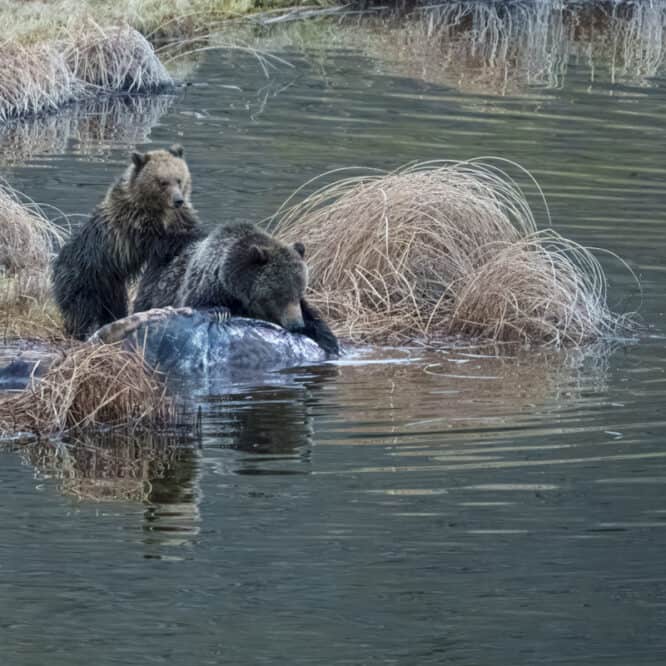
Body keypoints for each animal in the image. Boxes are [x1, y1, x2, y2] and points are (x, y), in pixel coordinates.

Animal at [52, 144, 200, 340]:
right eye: (162, 182)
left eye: (179, 179)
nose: (178, 200)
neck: (159, 210)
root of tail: (56, 265)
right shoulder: (135, 226)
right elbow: (164, 243)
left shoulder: (179, 216)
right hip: (83, 278)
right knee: (81, 309)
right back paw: (83, 331)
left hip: (112, 286)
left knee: (113, 307)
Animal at [133, 222, 339, 356]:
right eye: (280, 295)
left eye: (299, 292)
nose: (297, 324)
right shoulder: (202, 285)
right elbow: (197, 303)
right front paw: (219, 311)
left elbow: (314, 317)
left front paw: (329, 340)